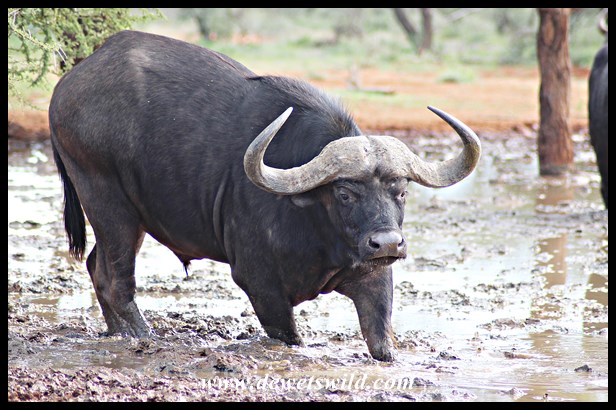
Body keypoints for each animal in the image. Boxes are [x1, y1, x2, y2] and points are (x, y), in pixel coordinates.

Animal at [49, 30, 481, 362]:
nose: (387, 243)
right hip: (108, 202)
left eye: (401, 190)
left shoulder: (373, 277)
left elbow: (382, 343)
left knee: (97, 267)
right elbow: (289, 336)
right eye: (345, 193)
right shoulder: (262, 287)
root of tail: (68, 85)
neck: (318, 230)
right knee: (118, 281)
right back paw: (142, 335)